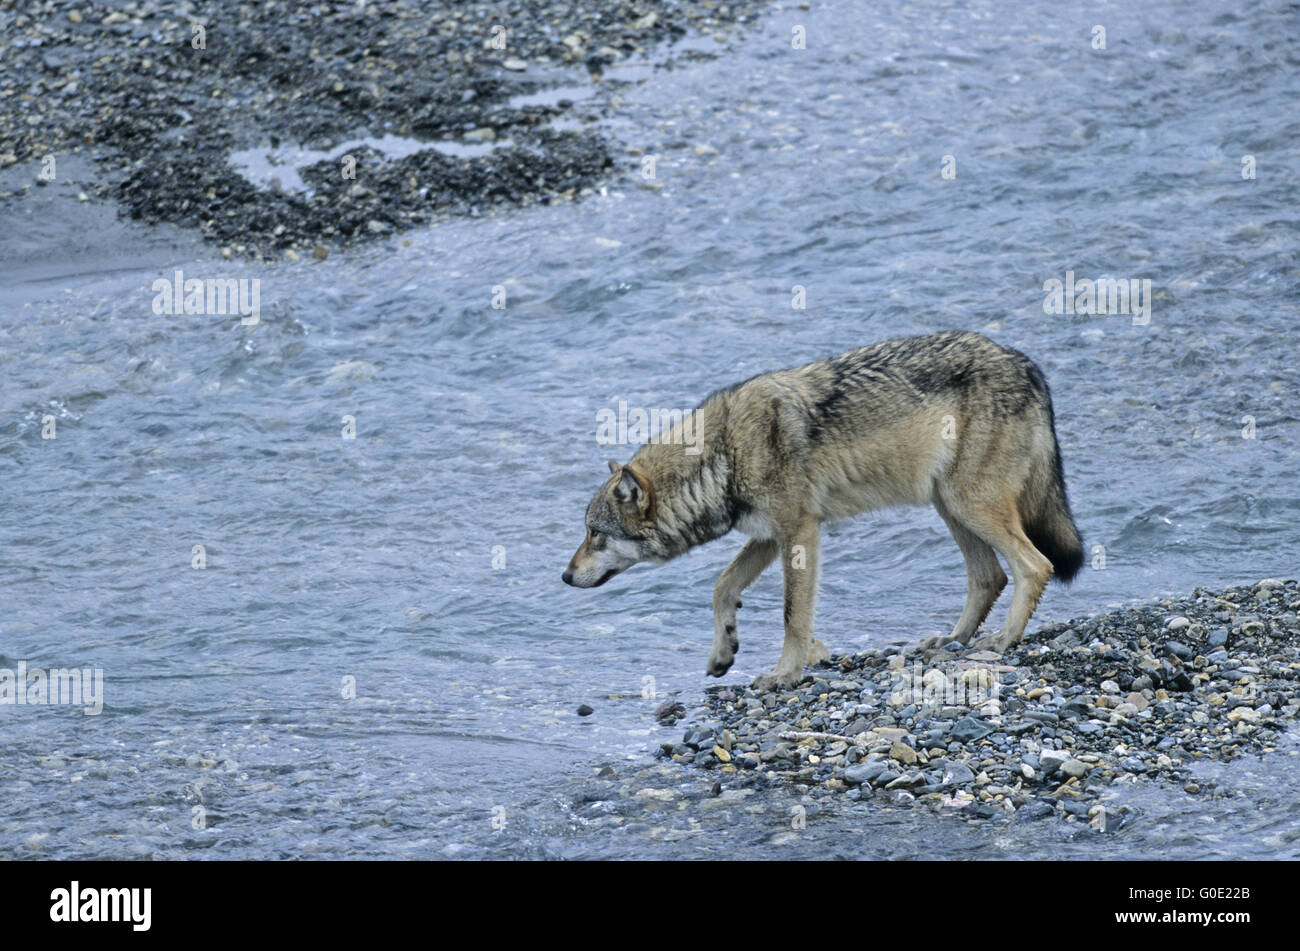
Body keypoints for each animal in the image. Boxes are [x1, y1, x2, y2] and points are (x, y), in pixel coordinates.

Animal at [564, 329, 1081, 685]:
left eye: (595, 534)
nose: (566, 577)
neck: (723, 455)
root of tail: (1029, 365)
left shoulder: (799, 531)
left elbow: (793, 614)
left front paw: (785, 674)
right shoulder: (769, 535)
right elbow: (721, 586)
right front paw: (724, 651)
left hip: (969, 505)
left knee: (1035, 565)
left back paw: (1003, 640)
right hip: (950, 507)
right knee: (989, 576)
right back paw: (953, 640)